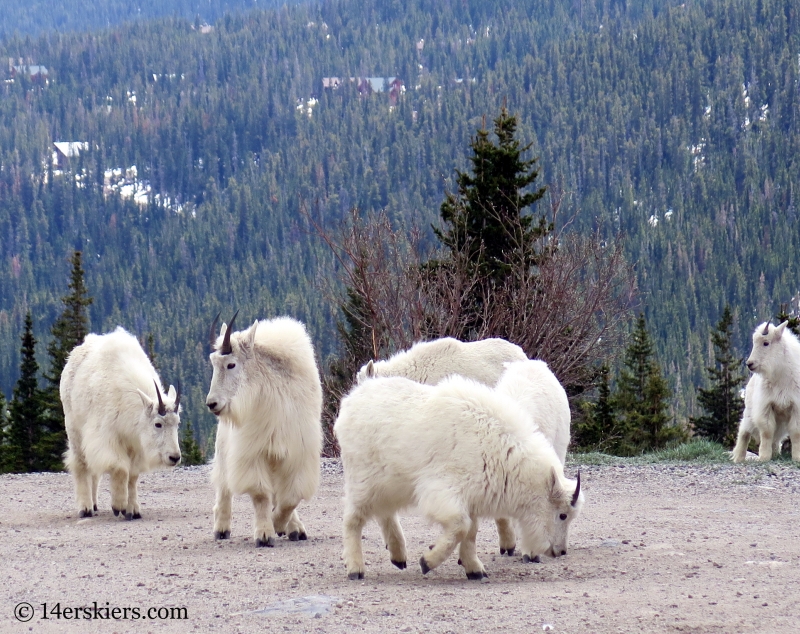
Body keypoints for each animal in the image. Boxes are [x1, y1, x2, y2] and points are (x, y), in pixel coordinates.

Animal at [61, 326, 182, 520]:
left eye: (177, 423)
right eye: (158, 424)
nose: (174, 457)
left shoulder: (137, 446)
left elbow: (132, 476)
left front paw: (133, 510)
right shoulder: (106, 438)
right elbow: (120, 468)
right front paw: (119, 506)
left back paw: (95, 504)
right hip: (74, 428)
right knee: (81, 464)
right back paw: (86, 508)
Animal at [205, 312, 324, 544]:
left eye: (231, 364)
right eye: (213, 363)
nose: (212, 403)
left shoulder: (297, 453)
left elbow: (291, 497)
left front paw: (280, 525)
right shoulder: (254, 451)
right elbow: (261, 495)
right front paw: (265, 533)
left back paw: (295, 529)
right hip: (224, 445)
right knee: (223, 485)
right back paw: (221, 528)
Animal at [332, 376, 580, 576]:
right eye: (562, 515)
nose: (560, 551)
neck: (500, 451)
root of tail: (351, 401)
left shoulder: (473, 497)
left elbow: (470, 532)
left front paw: (474, 569)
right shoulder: (444, 491)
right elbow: (461, 526)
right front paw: (427, 561)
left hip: (390, 484)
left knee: (385, 512)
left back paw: (398, 556)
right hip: (363, 481)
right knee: (352, 519)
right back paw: (355, 568)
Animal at [732, 320, 800, 460]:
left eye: (766, 343)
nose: (750, 364)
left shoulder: (796, 406)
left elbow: (795, 432)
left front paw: (797, 457)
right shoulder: (765, 405)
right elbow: (767, 431)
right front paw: (763, 457)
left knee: (776, 438)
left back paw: (775, 453)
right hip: (749, 410)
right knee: (744, 431)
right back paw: (739, 458)